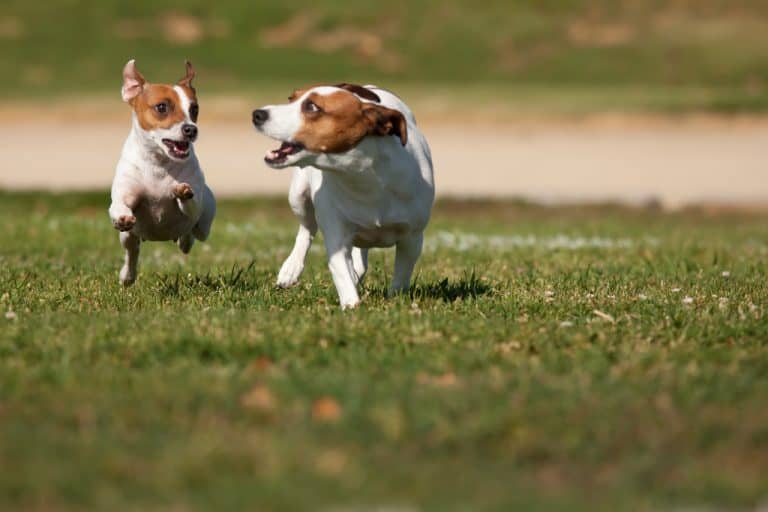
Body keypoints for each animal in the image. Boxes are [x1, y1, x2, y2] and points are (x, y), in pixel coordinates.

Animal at [108, 60, 216, 286]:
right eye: (162, 107)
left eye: (194, 109)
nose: (191, 129)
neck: (159, 164)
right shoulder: (125, 195)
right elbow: (119, 206)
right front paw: (121, 215)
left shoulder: (195, 206)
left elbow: (190, 202)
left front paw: (182, 191)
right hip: (128, 237)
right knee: (132, 251)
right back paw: (127, 276)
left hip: (205, 222)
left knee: (193, 233)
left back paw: (184, 241)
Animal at [252, 83, 432, 308]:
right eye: (290, 99)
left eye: (312, 107)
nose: (257, 114)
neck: (363, 177)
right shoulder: (336, 235)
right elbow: (341, 272)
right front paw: (352, 305)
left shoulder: (412, 238)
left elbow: (402, 274)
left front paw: (395, 300)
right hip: (298, 196)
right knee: (307, 230)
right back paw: (291, 268)